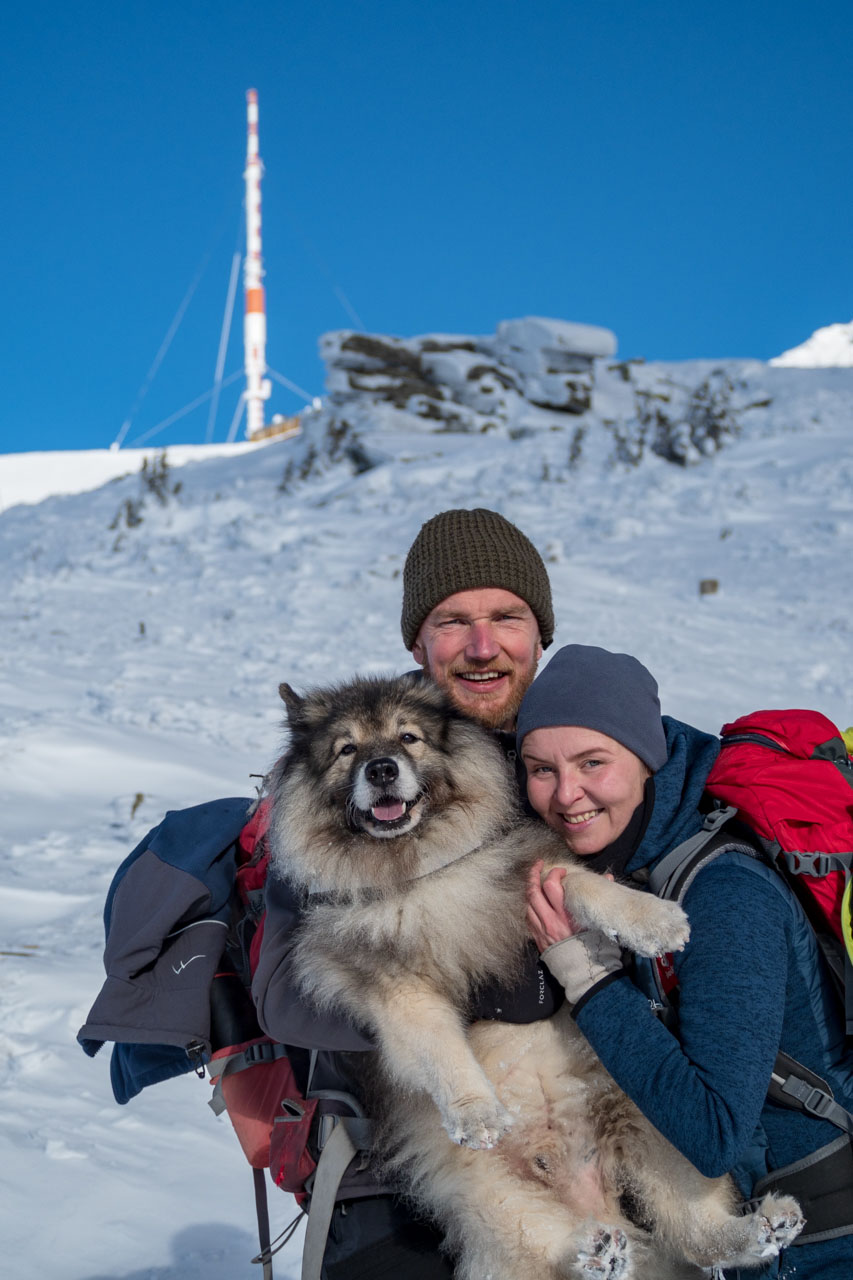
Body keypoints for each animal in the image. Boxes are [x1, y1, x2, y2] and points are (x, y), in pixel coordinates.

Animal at [267, 675, 804, 1274]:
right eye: (346, 749)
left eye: (408, 738)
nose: (381, 769)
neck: (420, 874)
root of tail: (587, 1186)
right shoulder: (391, 986)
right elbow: (436, 1044)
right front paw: (476, 1110)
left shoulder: (530, 872)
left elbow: (581, 884)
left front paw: (654, 920)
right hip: (487, 1193)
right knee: (551, 1244)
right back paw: (597, 1252)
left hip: (652, 1119)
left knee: (693, 1227)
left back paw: (760, 1229)